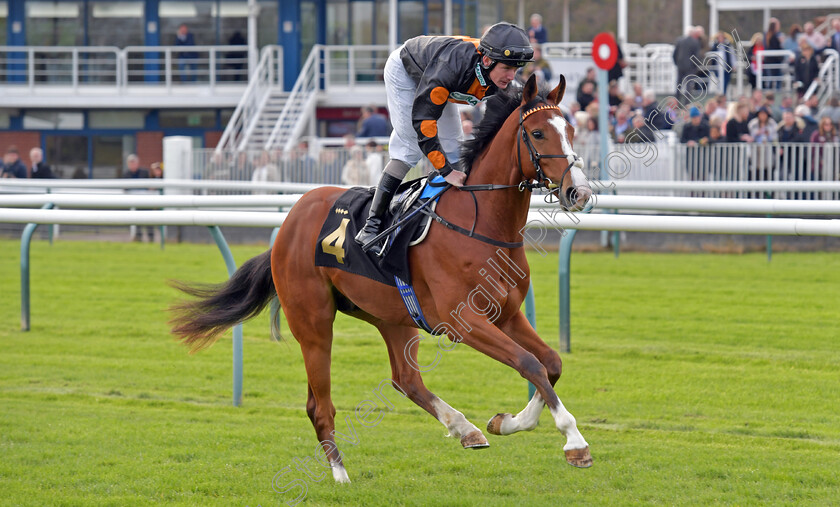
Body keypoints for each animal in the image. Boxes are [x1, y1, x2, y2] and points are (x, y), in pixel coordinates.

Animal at [169, 75, 592, 484]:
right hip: (313, 324)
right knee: (320, 405)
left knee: (406, 379)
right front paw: (574, 441)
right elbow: (529, 363)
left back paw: (465, 428)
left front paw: (508, 422)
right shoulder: (464, 322)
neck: (481, 223)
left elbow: (550, 363)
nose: (579, 191)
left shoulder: (506, 315)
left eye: (571, 130)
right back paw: (340, 474)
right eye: (537, 133)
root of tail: (289, 220)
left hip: (393, 315)